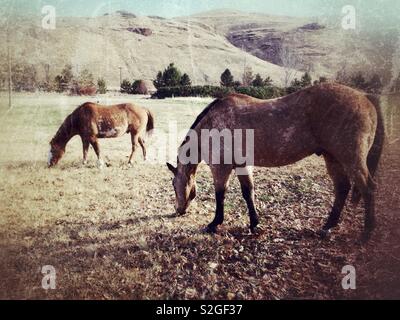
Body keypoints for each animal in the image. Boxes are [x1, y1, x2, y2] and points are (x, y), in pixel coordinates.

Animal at [167, 82, 386, 240]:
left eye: (174, 184)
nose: (178, 211)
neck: (211, 125)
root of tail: (365, 97)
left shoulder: (221, 168)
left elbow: (220, 195)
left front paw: (215, 223)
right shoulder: (243, 165)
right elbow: (248, 193)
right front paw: (254, 224)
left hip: (351, 159)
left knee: (367, 188)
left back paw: (366, 233)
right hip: (332, 158)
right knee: (342, 188)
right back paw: (327, 227)